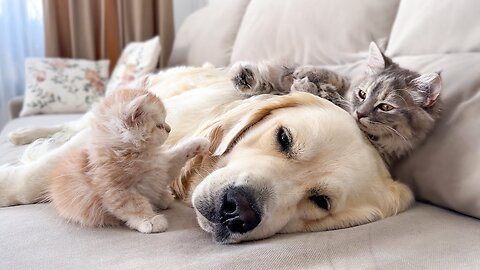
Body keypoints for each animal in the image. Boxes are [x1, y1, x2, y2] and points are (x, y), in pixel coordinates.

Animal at [48, 88, 210, 232]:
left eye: (165, 122)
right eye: (159, 125)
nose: (170, 129)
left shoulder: (161, 170)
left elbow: (178, 154)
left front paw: (199, 143)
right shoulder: (118, 190)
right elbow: (136, 206)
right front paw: (150, 220)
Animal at [229, 42, 442, 166]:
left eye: (386, 107)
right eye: (362, 94)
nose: (359, 113)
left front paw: (307, 86)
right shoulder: (344, 82)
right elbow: (333, 77)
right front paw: (304, 73)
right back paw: (244, 77)